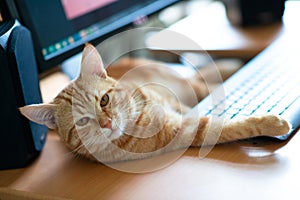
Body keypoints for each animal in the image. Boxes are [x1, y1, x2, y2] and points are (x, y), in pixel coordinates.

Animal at [19, 43, 290, 162]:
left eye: (104, 100)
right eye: (82, 122)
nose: (107, 123)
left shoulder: (180, 109)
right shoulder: (189, 129)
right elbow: (235, 126)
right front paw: (272, 122)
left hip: (190, 85)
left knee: (205, 80)